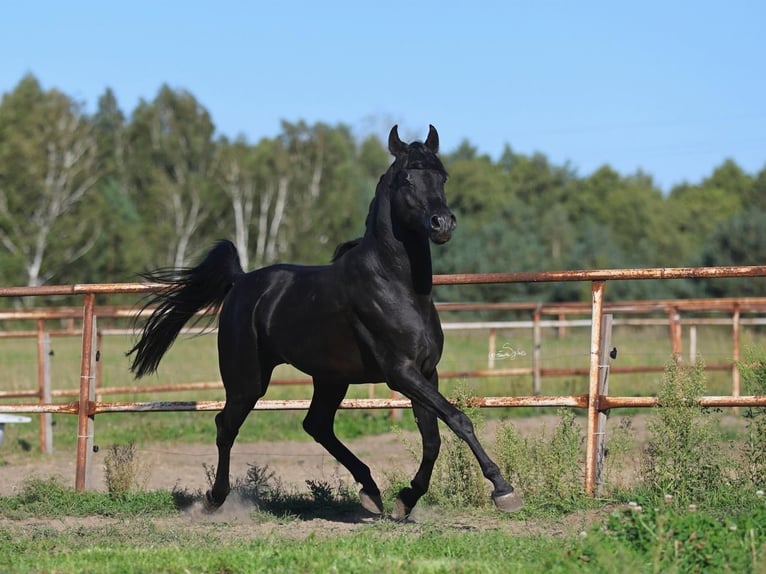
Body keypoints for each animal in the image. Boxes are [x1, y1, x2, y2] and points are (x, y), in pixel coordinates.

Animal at [128, 125, 522, 519]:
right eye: (407, 178)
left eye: (442, 176)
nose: (443, 224)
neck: (397, 285)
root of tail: (241, 282)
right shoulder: (401, 372)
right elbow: (458, 419)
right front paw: (503, 490)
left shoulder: (426, 372)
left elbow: (432, 439)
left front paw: (406, 499)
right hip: (247, 381)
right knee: (226, 426)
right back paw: (214, 499)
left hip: (330, 378)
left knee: (316, 424)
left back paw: (370, 490)